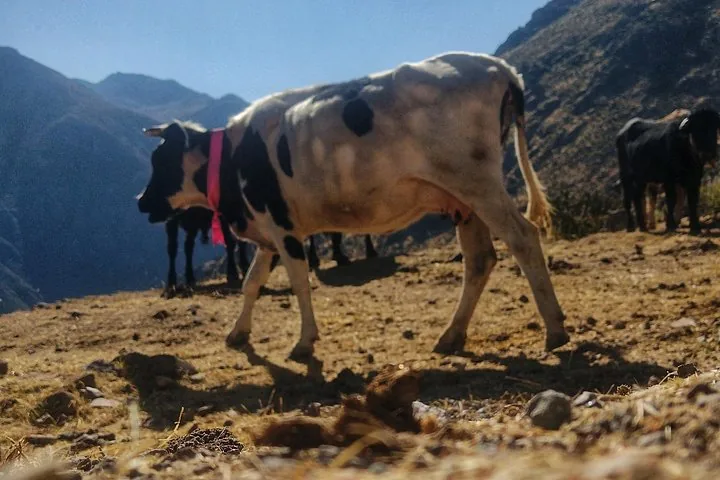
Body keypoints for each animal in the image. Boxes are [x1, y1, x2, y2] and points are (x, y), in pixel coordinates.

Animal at [136, 51, 569, 360]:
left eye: (161, 161)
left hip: (478, 183)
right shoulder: (268, 231)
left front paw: (304, 342)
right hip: (463, 200)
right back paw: (451, 336)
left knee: (523, 238)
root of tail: (496, 65)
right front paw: (238, 333)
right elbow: (251, 283)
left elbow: (299, 282)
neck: (233, 158)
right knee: (480, 260)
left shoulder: (283, 226)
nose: (140, 201)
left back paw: (555, 330)